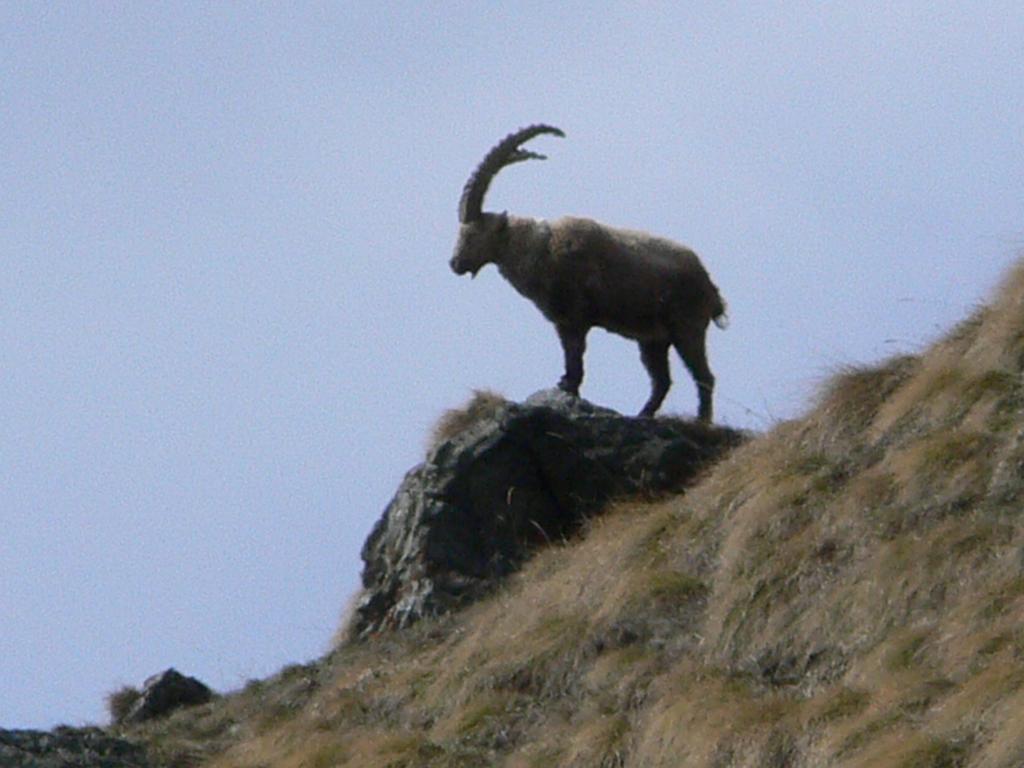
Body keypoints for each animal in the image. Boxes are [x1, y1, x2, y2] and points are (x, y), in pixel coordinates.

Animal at [448, 128, 729, 428]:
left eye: (473, 234)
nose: (455, 263)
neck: (540, 249)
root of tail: (711, 289)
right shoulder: (562, 321)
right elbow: (570, 356)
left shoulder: (575, 317)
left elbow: (575, 357)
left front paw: (568, 388)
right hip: (653, 339)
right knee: (662, 381)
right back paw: (642, 415)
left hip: (687, 326)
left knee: (704, 377)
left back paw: (702, 421)